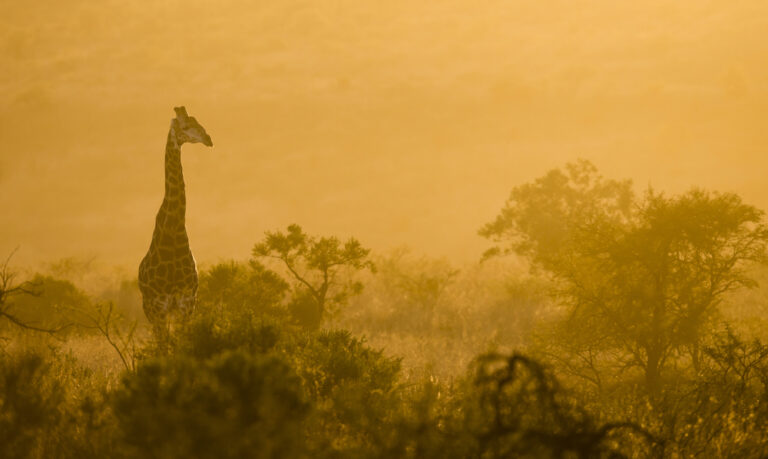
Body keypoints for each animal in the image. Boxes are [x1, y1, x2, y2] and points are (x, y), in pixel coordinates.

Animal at [139, 106, 213, 335]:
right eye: (186, 126)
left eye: (199, 122)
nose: (208, 139)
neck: (173, 231)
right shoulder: (159, 307)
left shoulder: (186, 304)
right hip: (150, 310)